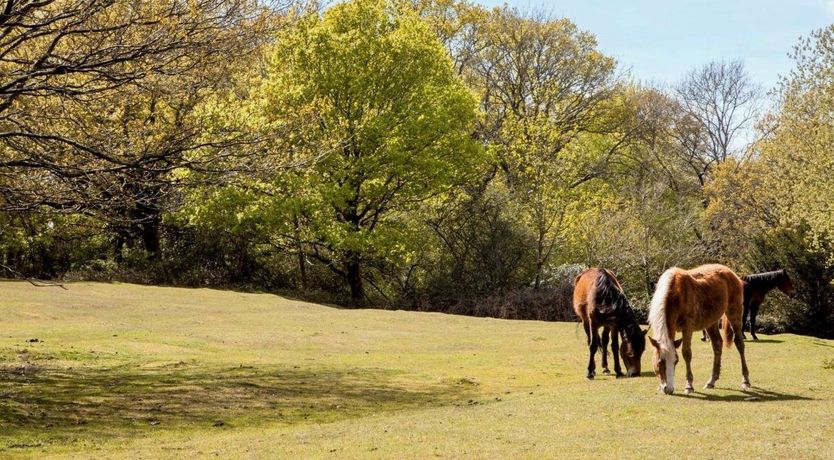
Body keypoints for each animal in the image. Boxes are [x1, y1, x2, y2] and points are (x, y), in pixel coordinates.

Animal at [644, 266, 748, 396]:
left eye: (676, 361)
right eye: (659, 362)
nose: (668, 389)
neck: (675, 294)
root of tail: (731, 273)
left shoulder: (687, 326)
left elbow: (686, 353)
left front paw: (689, 386)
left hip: (735, 313)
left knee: (739, 343)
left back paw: (745, 381)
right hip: (711, 321)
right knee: (717, 344)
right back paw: (711, 381)